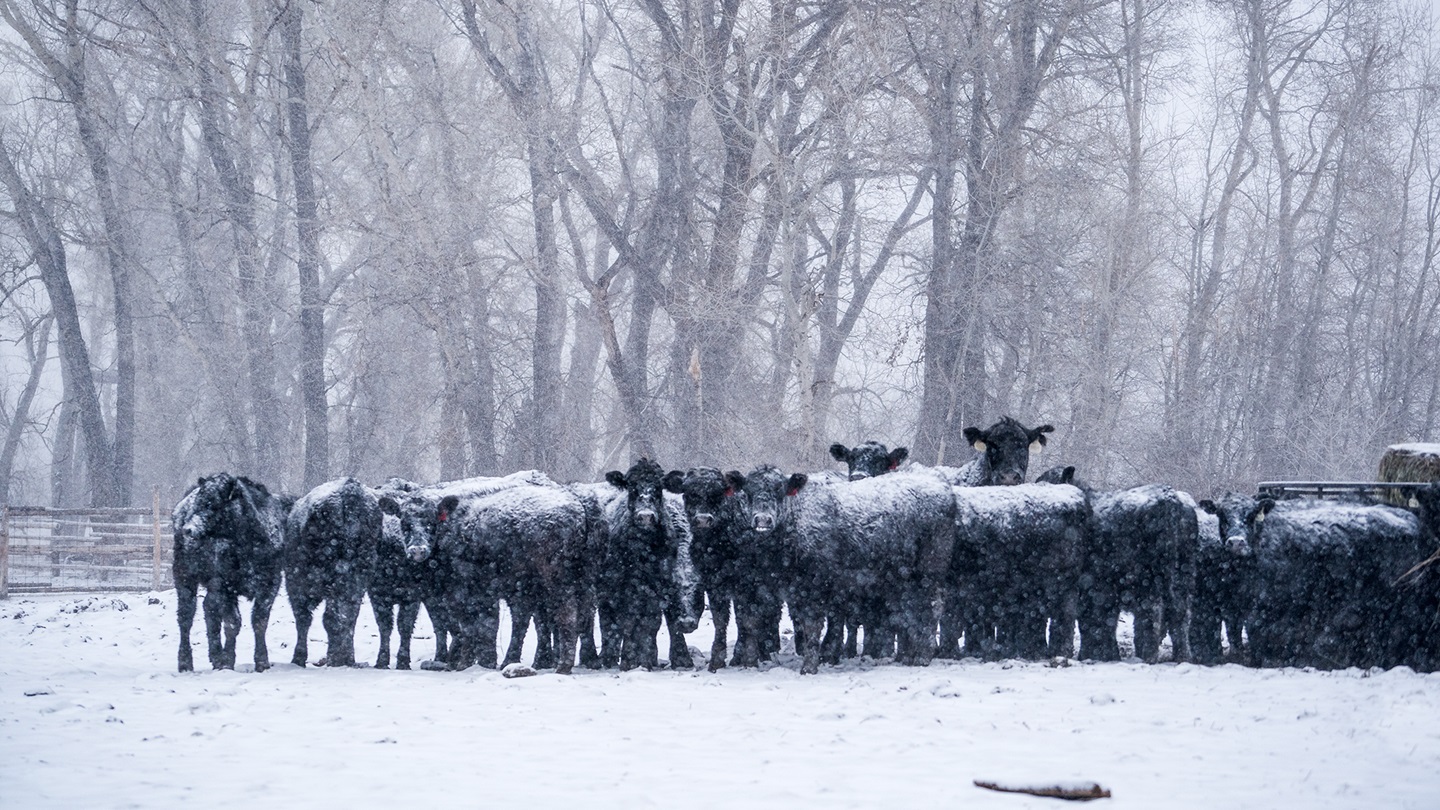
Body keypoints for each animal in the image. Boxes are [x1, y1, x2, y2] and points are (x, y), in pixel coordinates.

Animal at [172, 474, 291, 672]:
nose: (188, 529)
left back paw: (215, 656)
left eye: (212, 503)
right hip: (184, 576)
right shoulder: (225, 586)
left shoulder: (270, 583)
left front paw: (262, 662)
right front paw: (227, 661)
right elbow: (232, 623)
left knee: (208, 608)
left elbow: (259, 621)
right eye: (198, 502)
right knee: (186, 616)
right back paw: (185, 662)